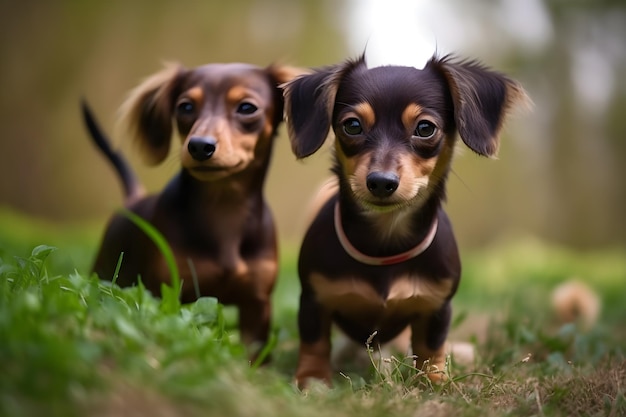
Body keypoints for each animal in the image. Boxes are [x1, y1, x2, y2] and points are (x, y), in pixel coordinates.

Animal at [282, 55, 528, 386]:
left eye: (425, 128)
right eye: (352, 125)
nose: (381, 182)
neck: (385, 241)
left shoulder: (436, 307)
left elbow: (430, 348)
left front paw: (436, 381)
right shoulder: (313, 300)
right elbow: (314, 343)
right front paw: (312, 381)